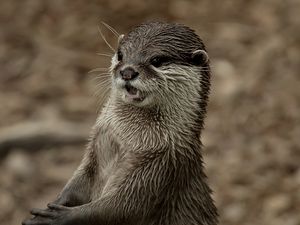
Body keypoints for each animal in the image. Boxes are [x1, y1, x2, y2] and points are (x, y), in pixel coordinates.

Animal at [21, 22, 218, 225]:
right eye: (121, 54)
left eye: (157, 60)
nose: (127, 72)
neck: (126, 140)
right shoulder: (94, 151)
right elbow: (78, 181)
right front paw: (52, 204)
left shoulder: (162, 168)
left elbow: (119, 209)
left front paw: (59, 217)